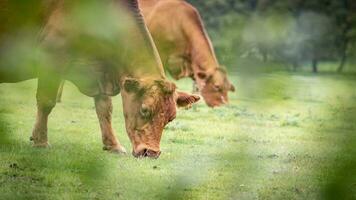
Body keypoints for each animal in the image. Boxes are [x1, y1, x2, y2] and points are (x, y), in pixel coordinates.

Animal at [0, 0, 200, 159]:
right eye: (144, 110)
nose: (151, 152)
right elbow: (46, 101)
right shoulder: (52, 55)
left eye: (171, 118)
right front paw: (40, 141)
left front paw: (113, 145)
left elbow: (105, 109)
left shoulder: (101, 72)